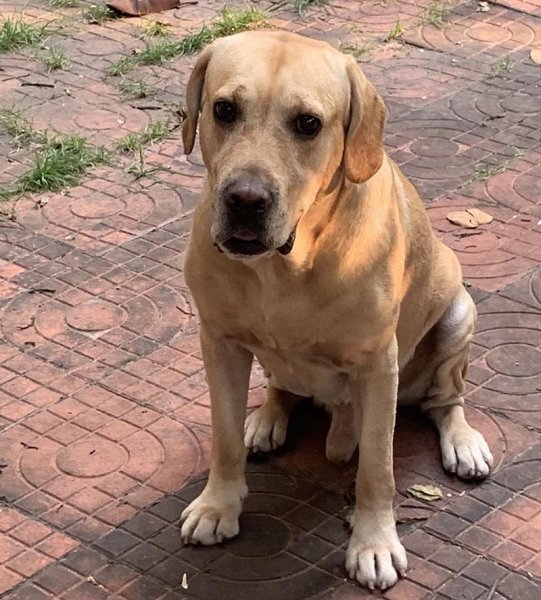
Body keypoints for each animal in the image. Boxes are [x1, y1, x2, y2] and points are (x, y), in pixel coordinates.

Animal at [179, 30, 493, 590]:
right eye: (224, 109)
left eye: (308, 123)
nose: (245, 199)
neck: (286, 265)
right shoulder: (219, 343)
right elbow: (223, 436)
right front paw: (219, 506)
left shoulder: (377, 367)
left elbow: (377, 469)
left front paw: (374, 543)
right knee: (281, 386)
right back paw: (267, 417)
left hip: (458, 315)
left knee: (446, 399)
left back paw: (462, 441)